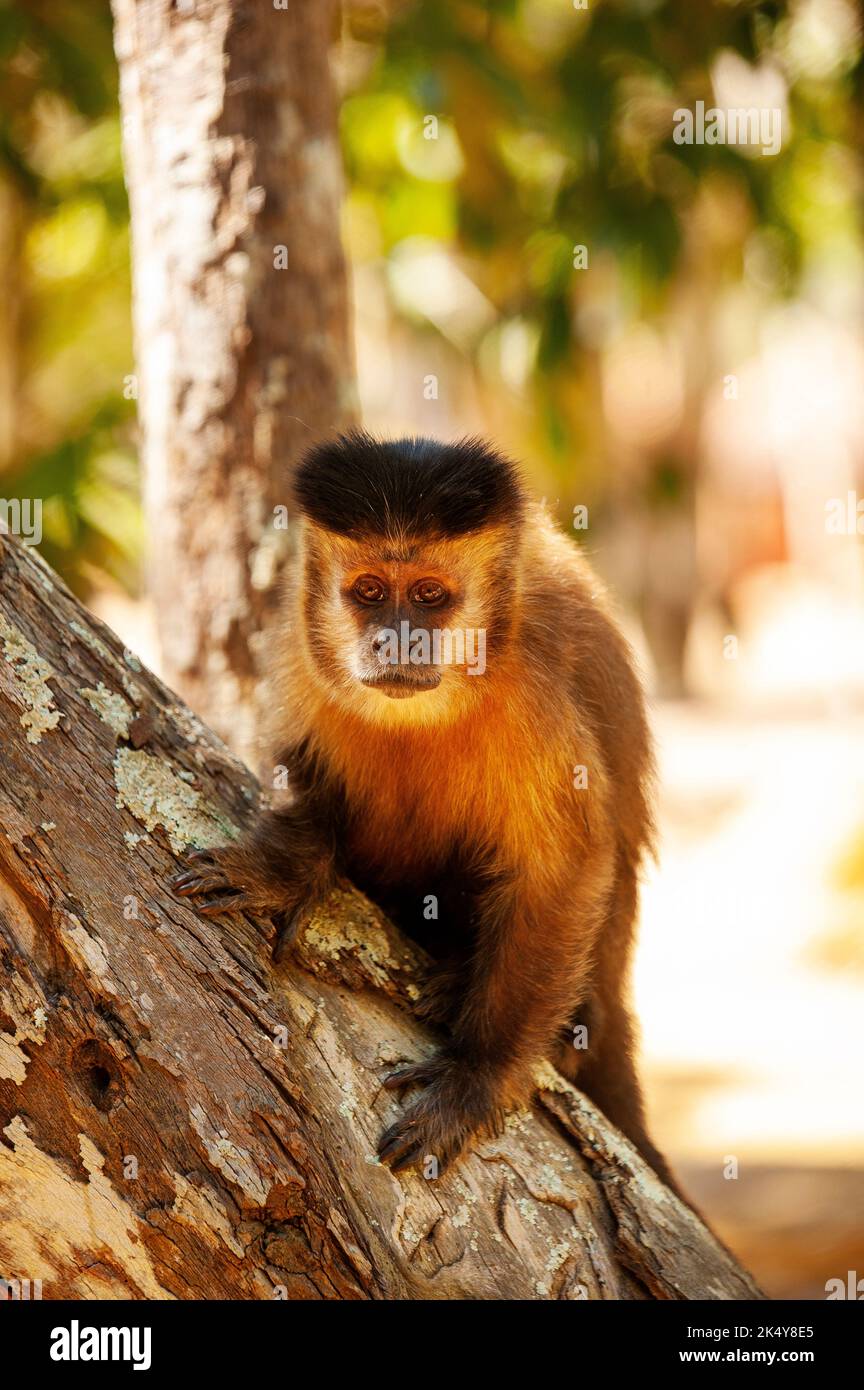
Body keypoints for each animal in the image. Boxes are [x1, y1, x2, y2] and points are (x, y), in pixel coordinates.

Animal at [172, 428, 680, 1189]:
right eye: (370, 592)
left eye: (430, 596)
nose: (395, 638)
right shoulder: (301, 643)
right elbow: (304, 770)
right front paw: (280, 870)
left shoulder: (534, 692)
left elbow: (563, 869)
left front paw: (479, 1074)